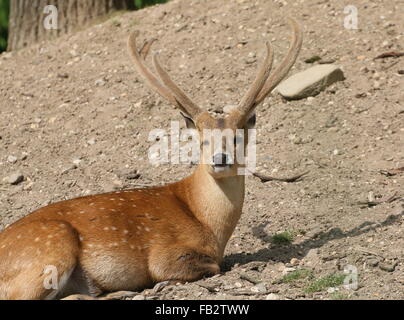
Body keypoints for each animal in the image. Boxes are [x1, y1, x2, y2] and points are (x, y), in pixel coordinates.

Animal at [0, 18, 302, 298]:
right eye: (201, 140)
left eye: (239, 136)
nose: (220, 158)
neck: (209, 226)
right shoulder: (165, 254)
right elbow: (209, 266)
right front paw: (164, 283)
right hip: (50, 247)